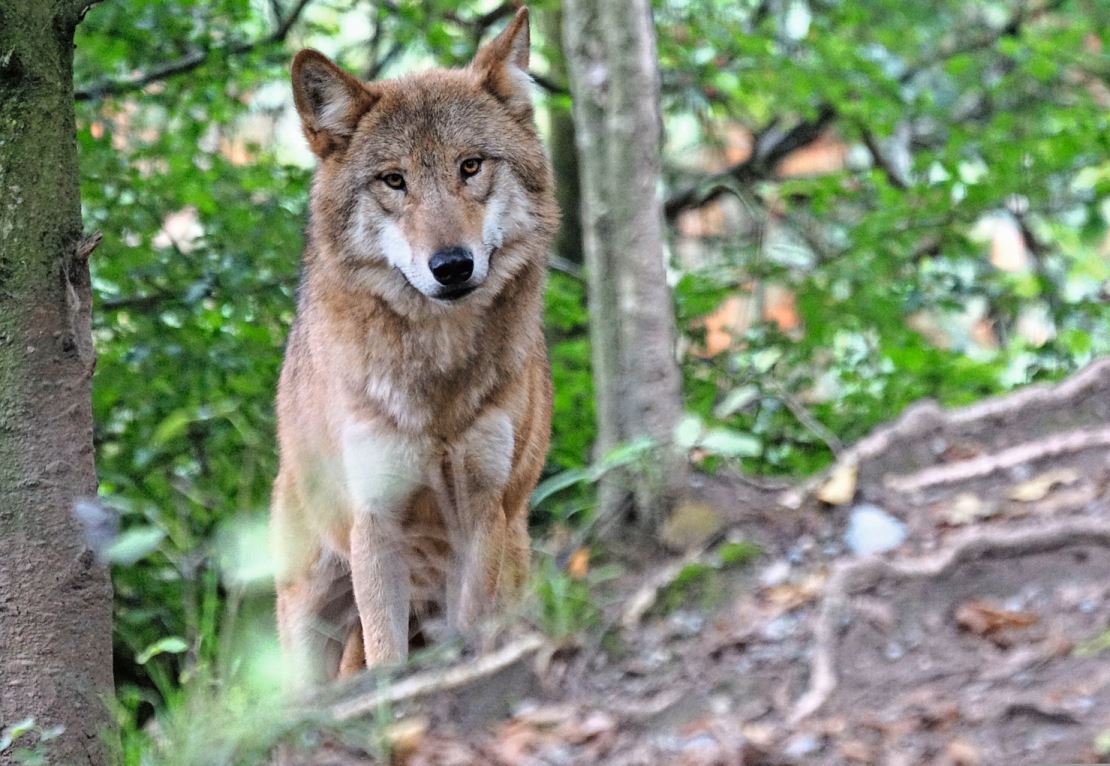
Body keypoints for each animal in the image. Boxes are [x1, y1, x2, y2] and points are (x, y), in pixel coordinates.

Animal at [273, 7, 559, 679]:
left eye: (470, 166)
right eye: (394, 180)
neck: (438, 379)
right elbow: (385, 655)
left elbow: (472, 624)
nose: (451, 266)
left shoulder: (481, 509)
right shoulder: (376, 523)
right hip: (309, 610)